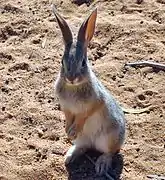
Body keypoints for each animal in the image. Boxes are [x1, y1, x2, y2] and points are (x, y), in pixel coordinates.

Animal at [52, 4, 125, 176]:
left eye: (83, 63)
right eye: (62, 62)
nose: (71, 78)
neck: (74, 87)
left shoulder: (95, 103)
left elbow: (83, 116)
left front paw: (72, 130)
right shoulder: (66, 108)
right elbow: (68, 116)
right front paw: (67, 130)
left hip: (110, 137)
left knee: (110, 152)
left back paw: (101, 165)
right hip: (84, 139)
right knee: (83, 147)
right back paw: (69, 156)